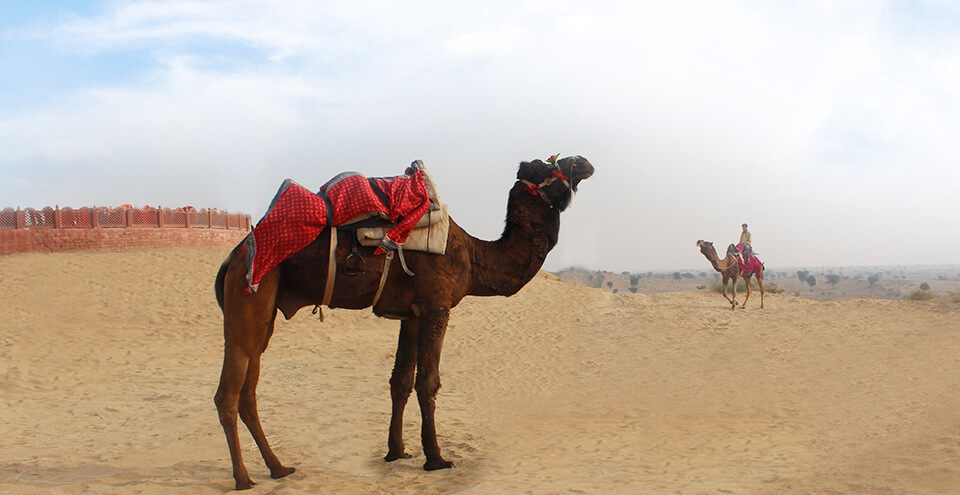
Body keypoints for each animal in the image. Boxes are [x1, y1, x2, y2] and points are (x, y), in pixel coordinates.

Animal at [214, 156, 594, 490]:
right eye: (550, 166)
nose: (585, 162)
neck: (474, 256)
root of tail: (233, 256)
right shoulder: (437, 307)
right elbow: (428, 381)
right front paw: (436, 458)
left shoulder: (411, 314)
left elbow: (400, 381)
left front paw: (396, 451)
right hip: (251, 293)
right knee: (227, 393)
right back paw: (243, 479)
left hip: (264, 313)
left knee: (248, 390)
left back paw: (278, 468)